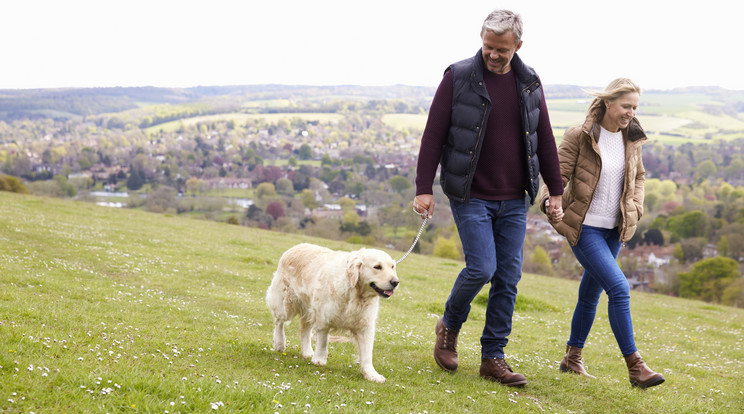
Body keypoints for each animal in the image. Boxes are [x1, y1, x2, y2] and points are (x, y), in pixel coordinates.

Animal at [264, 243, 398, 382]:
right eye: (377, 267)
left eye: (392, 267)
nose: (395, 282)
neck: (355, 293)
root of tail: (296, 247)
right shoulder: (323, 317)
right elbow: (323, 341)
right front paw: (319, 359)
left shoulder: (365, 326)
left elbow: (367, 354)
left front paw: (372, 374)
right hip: (286, 304)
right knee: (279, 322)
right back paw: (279, 343)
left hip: (309, 309)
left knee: (305, 329)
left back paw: (307, 351)